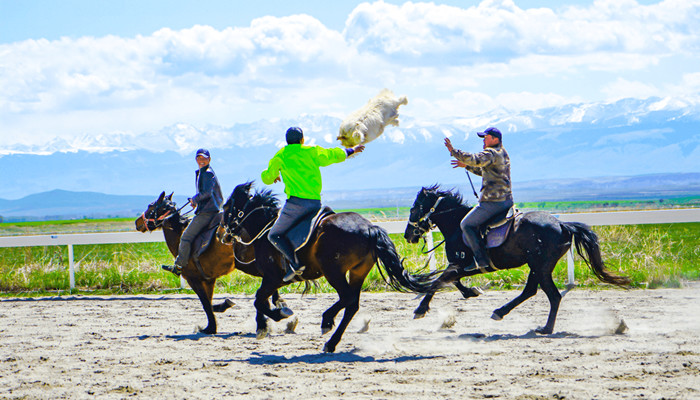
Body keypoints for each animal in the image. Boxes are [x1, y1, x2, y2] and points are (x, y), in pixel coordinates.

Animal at [133, 192, 288, 336]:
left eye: (150, 206)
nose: (137, 222)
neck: (179, 234)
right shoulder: (209, 280)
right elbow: (210, 303)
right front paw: (224, 306)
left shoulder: (194, 279)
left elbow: (205, 304)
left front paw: (210, 328)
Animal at [220, 182, 438, 354]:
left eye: (227, 206)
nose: (223, 234)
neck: (266, 231)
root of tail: (370, 228)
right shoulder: (272, 280)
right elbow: (262, 299)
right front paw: (265, 323)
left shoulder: (273, 277)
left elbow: (259, 299)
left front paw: (276, 316)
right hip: (357, 272)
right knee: (352, 305)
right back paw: (331, 342)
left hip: (334, 271)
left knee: (347, 298)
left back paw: (326, 321)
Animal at [402, 185, 632, 334]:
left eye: (413, 209)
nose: (407, 235)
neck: (457, 225)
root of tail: (562, 225)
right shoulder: (459, 266)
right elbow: (451, 281)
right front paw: (471, 292)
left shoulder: (460, 264)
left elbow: (438, 281)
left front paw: (420, 310)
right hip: (537, 267)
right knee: (531, 291)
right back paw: (502, 312)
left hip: (540, 266)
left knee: (553, 296)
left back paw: (545, 328)